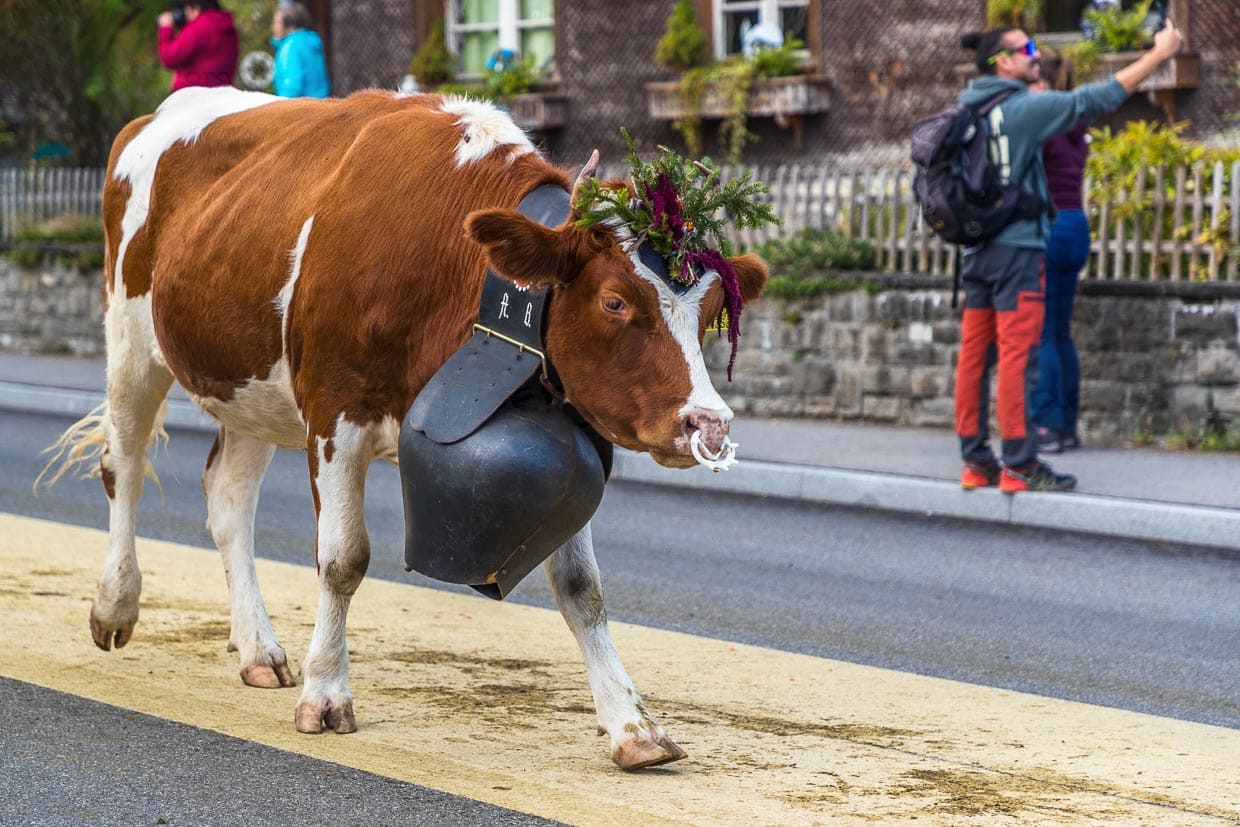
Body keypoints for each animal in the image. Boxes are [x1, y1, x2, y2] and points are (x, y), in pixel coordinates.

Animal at [44, 86, 768, 770]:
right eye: (615, 301)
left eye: (709, 309)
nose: (708, 423)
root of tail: (160, 113)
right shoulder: (334, 413)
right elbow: (342, 559)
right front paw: (326, 694)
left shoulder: (563, 444)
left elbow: (581, 589)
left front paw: (632, 726)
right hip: (131, 338)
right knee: (123, 466)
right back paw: (115, 606)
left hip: (248, 387)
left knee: (227, 498)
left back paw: (258, 649)